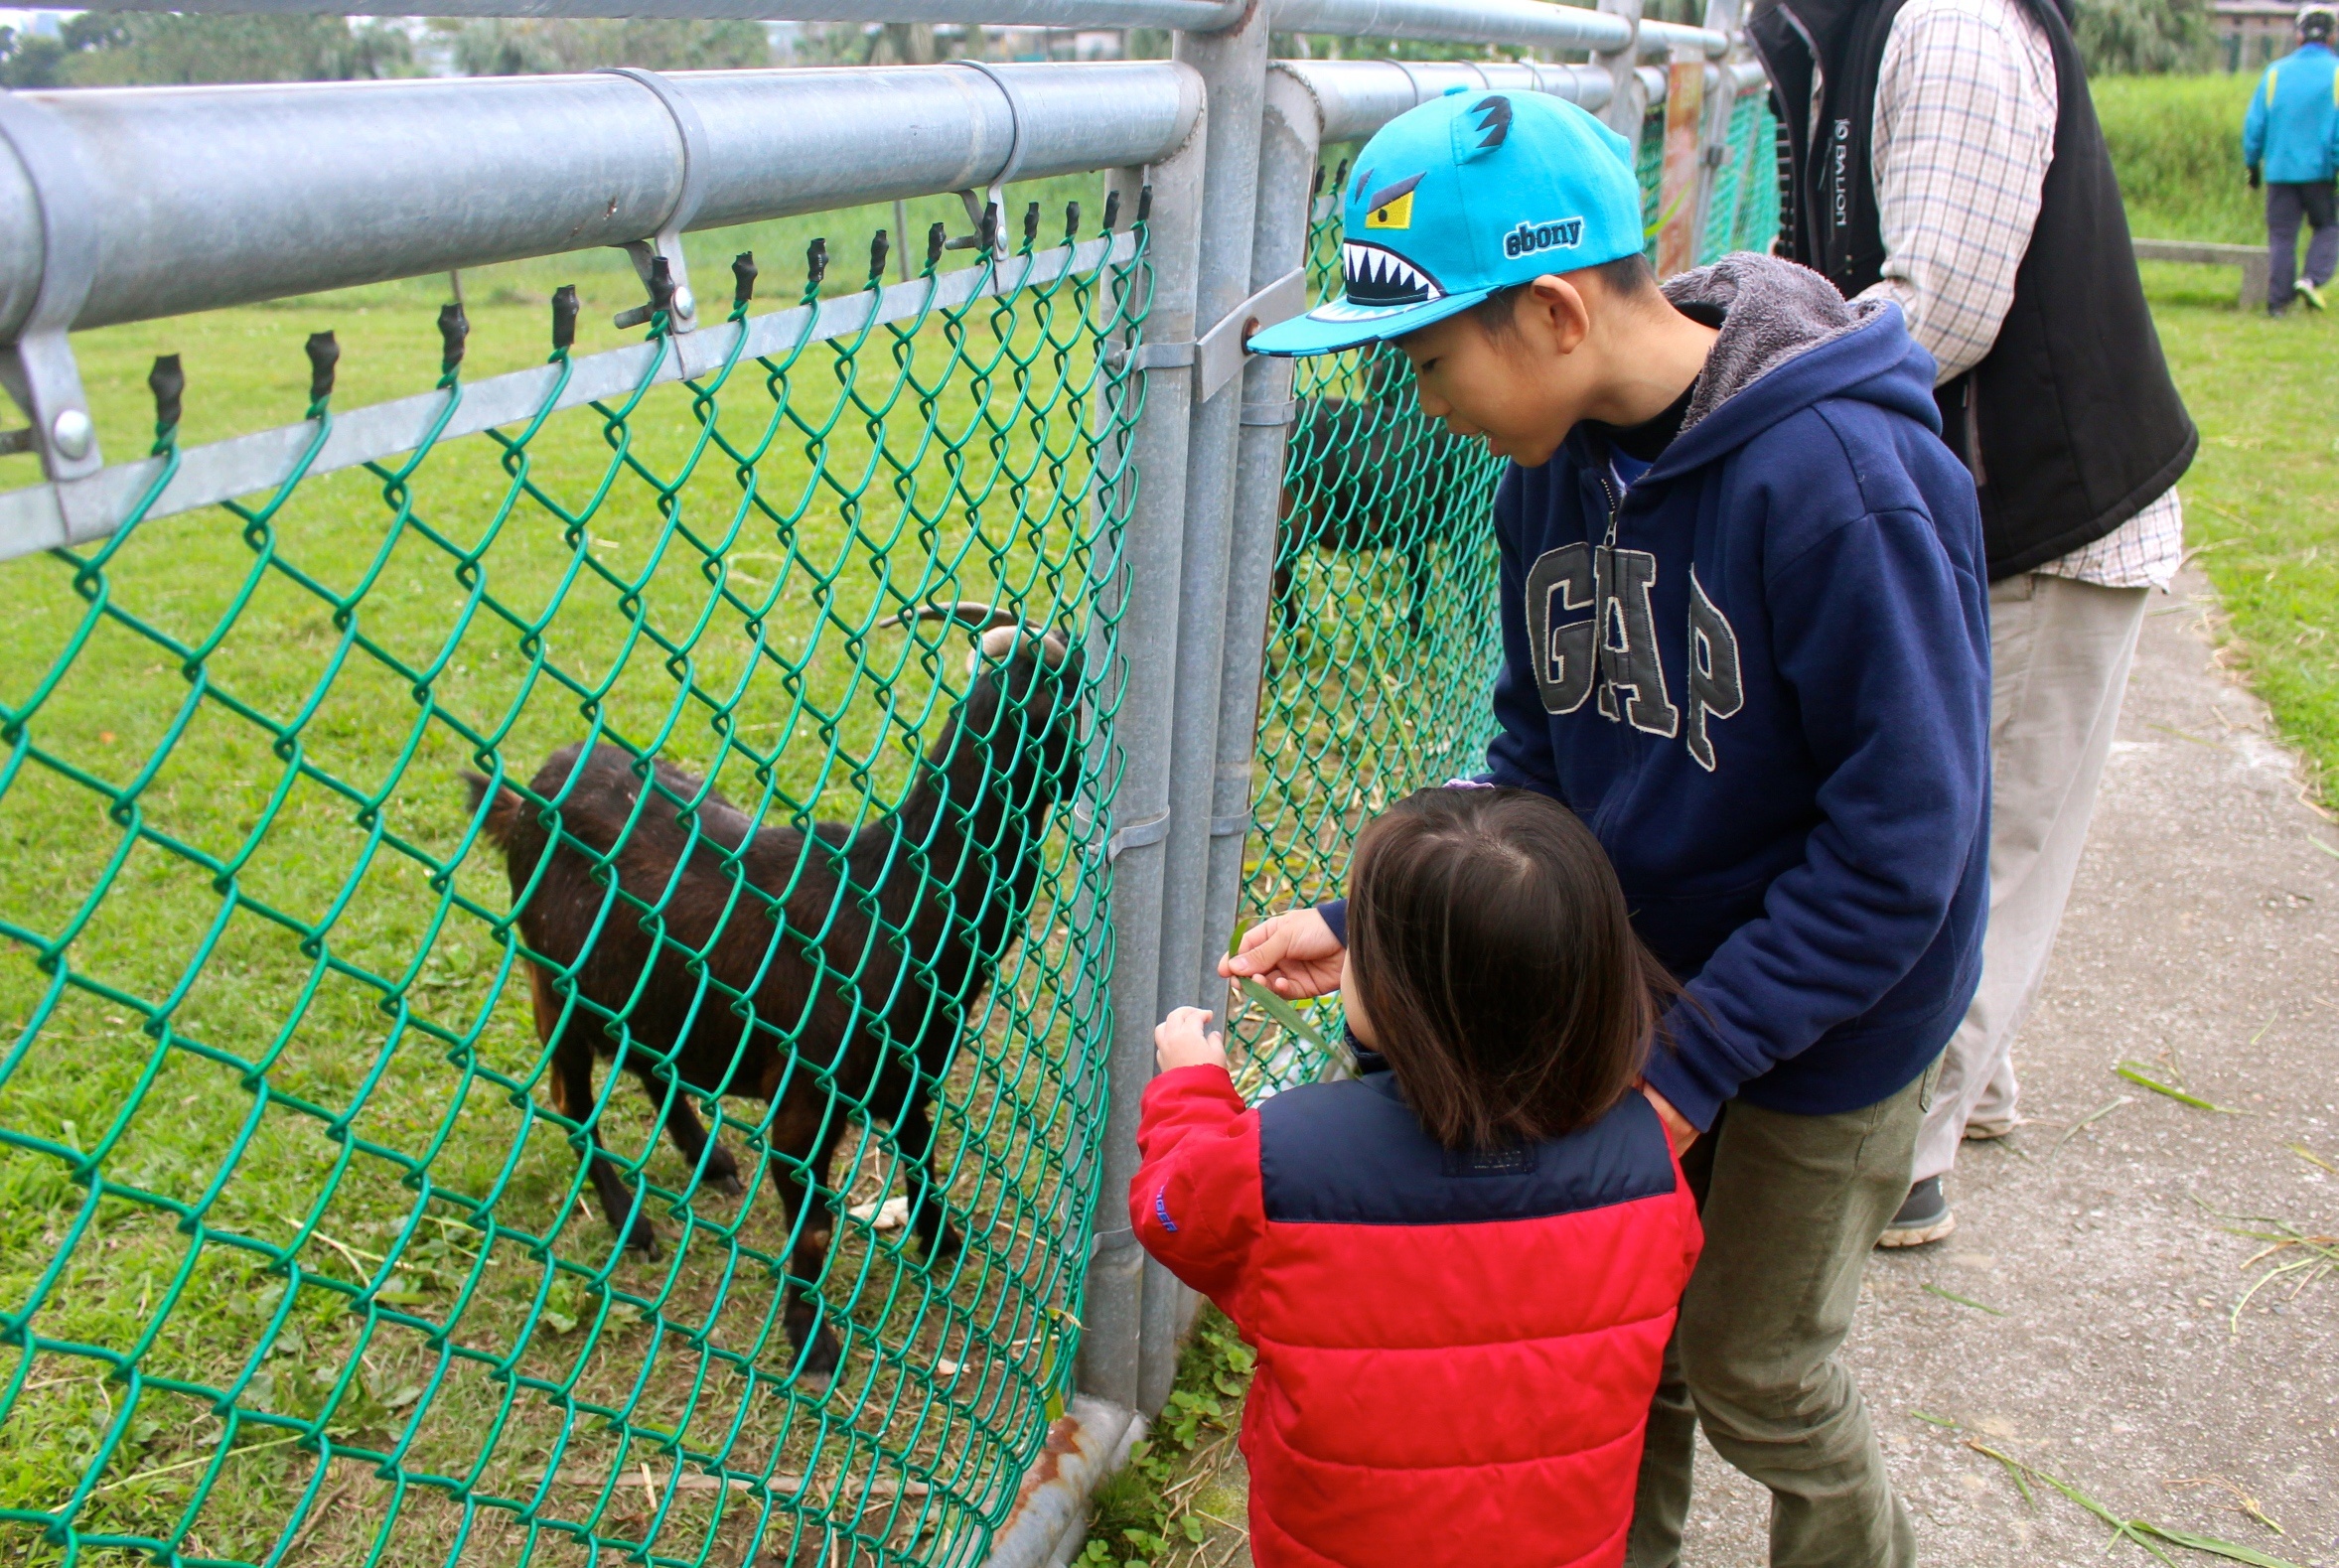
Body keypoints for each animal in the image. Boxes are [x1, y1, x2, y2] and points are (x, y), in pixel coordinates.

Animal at [472, 608, 1085, 1385]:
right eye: (1065, 699)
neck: (892, 895)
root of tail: (532, 791)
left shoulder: (907, 1070)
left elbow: (921, 1152)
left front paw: (940, 1240)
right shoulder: (803, 1098)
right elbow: (815, 1225)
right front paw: (812, 1342)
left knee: (651, 1065)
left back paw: (709, 1161)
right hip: (556, 987)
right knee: (575, 1102)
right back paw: (630, 1221)